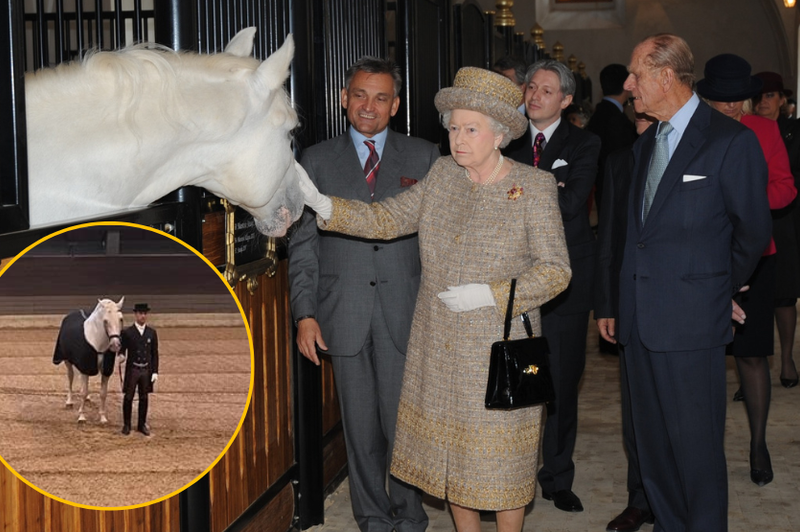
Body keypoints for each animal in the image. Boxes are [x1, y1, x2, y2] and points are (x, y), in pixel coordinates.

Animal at [53, 296, 125, 424]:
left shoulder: (105, 371)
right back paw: (69, 402)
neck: (97, 342)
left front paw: (103, 417)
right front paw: (82, 416)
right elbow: (83, 392)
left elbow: (103, 393)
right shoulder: (85, 368)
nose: (115, 345)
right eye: (105, 321)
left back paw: (87, 399)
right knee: (70, 378)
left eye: (120, 319)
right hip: (68, 361)